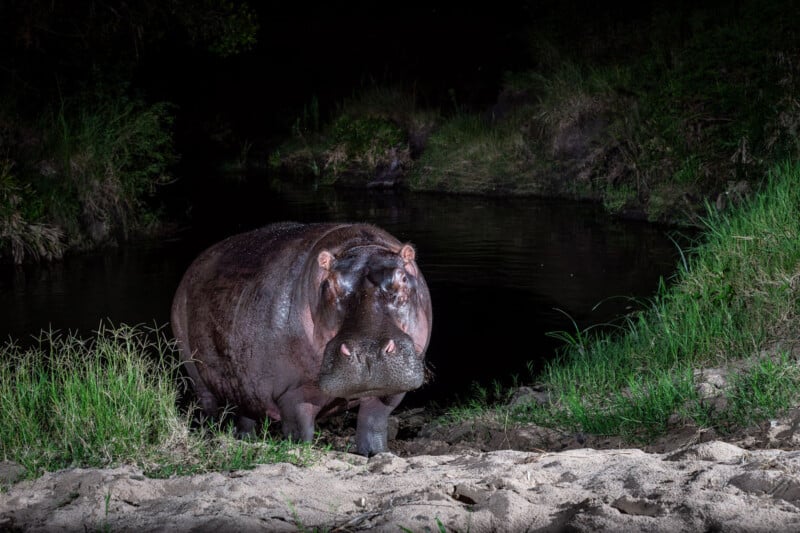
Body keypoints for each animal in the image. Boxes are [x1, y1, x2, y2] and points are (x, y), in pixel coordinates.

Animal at [171, 222, 433, 456]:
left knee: (245, 417)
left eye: (402, 279)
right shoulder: (294, 393)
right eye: (331, 284)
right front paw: (299, 451)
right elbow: (300, 433)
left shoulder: (390, 392)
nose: (368, 352)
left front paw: (374, 454)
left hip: (243, 388)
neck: (361, 246)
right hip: (195, 372)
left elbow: (373, 425)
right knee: (209, 409)